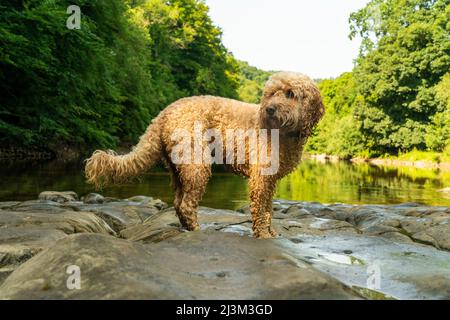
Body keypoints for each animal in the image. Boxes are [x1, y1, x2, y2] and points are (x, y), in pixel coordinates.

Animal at [85, 72, 324, 238]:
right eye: (271, 93)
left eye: (291, 94)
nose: (270, 109)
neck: (283, 133)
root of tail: (163, 113)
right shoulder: (261, 179)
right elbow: (261, 210)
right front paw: (264, 234)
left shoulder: (270, 181)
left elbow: (268, 210)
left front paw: (271, 232)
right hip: (197, 164)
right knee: (186, 204)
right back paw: (198, 230)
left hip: (179, 167)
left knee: (178, 202)